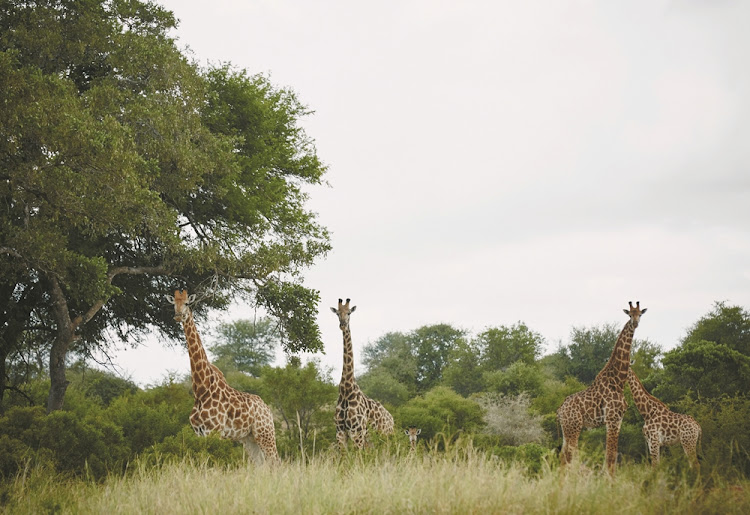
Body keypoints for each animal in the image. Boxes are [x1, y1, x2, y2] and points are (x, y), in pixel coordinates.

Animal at [166, 292, 280, 466]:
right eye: (173, 304)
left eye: (186, 303)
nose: (178, 316)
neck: (201, 390)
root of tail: (267, 408)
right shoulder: (199, 432)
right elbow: (203, 460)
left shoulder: (215, 431)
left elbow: (215, 461)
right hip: (249, 438)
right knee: (261, 464)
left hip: (265, 433)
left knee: (276, 461)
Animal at [332, 300, 396, 450]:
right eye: (337, 313)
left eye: (349, 313)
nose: (342, 325)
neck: (346, 390)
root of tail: (392, 420)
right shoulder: (340, 432)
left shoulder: (357, 432)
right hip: (373, 440)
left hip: (385, 438)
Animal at [556, 302, 648, 476]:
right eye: (629, 314)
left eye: (640, 314)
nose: (635, 323)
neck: (618, 381)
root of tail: (560, 410)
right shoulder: (612, 419)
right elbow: (610, 454)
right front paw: (609, 479)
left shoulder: (618, 420)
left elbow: (612, 453)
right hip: (574, 426)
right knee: (570, 455)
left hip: (566, 429)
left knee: (563, 456)